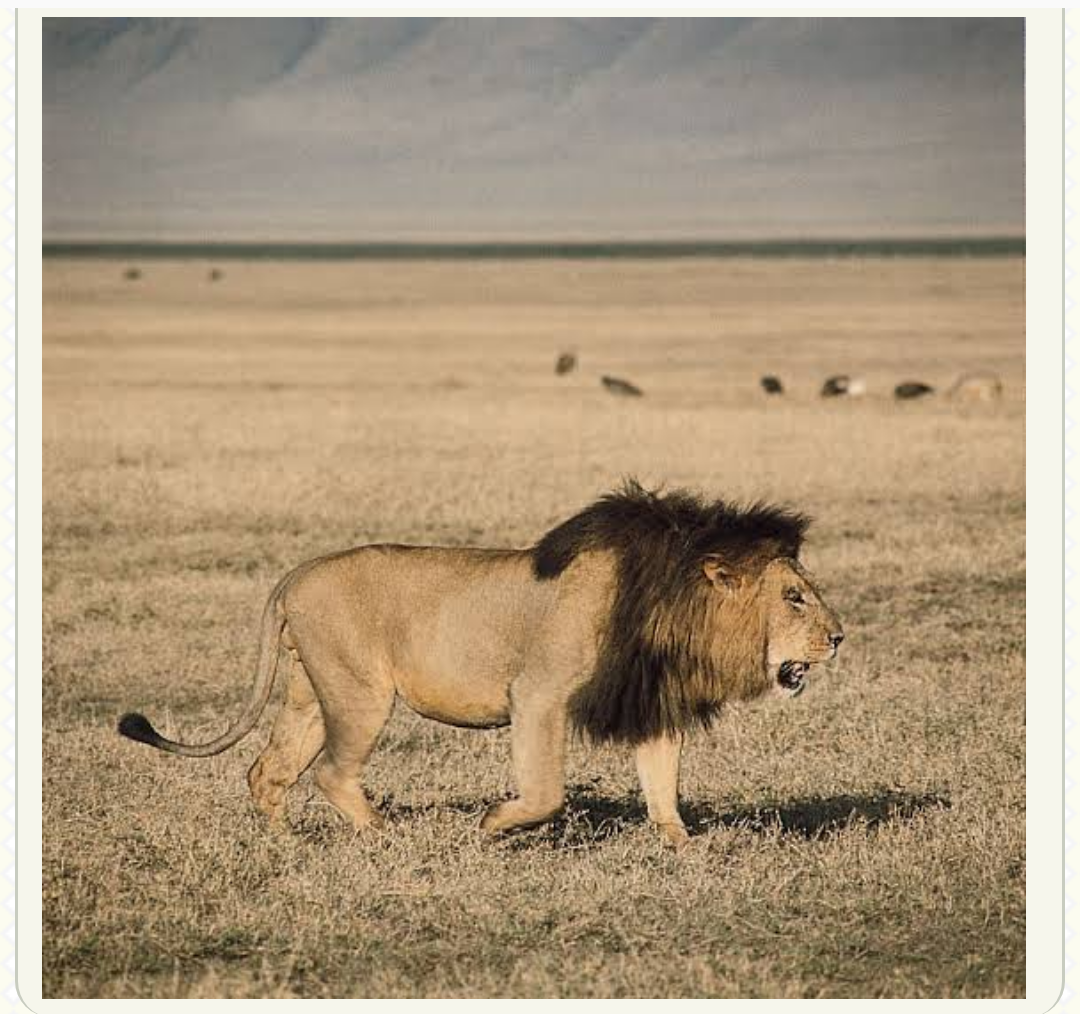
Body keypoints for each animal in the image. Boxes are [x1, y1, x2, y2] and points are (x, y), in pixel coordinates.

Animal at [118, 480, 844, 847]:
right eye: (795, 596)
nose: (839, 637)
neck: (669, 603)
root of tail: (293, 576)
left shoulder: (645, 697)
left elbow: (663, 785)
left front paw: (683, 849)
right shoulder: (539, 694)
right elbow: (546, 792)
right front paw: (494, 823)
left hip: (309, 692)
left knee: (267, 771)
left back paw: (286, 844)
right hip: (361, 692)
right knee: (328, 772)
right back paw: (383, 837)